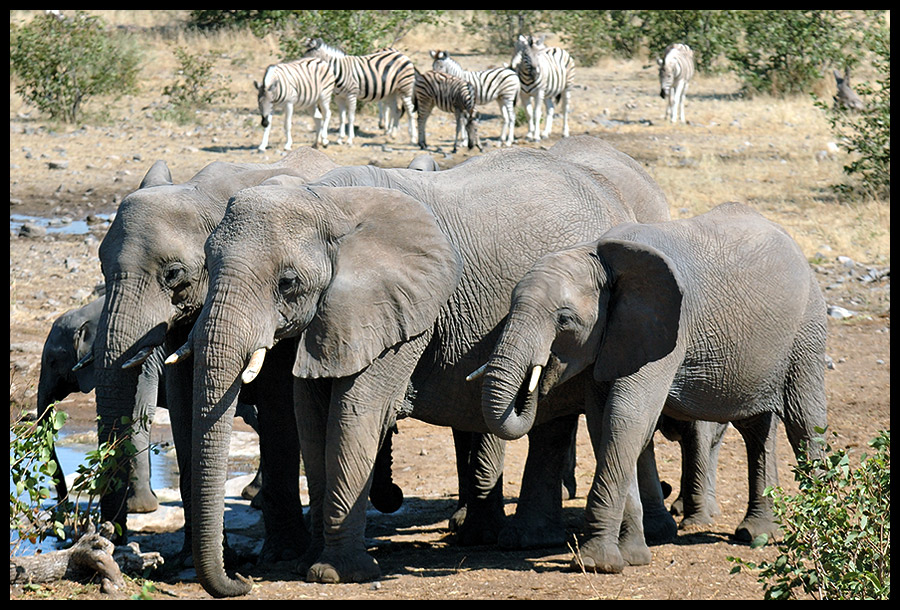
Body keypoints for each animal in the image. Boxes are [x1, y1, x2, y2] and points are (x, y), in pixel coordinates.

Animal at [92, 146, 338, 560]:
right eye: (100, 265)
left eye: (174, 274)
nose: (111, 536)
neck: (202, 195)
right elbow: (183, 404)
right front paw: (190, 557)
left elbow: (278, 404)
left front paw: (282, 554)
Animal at [181, 139, 684, 592]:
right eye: (206, 262)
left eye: (287, 282)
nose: (242, 579)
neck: (327, 201)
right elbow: (310, 413)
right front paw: (306, 563)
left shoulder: (405, 311)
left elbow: (356, 413)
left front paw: (335, 574)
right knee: (551, 418)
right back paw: (519, 540)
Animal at [482, 202, 828, 572]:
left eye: (564, 319)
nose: (542, 372)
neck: (599, 256)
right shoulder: (611, 337)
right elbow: (603, 424)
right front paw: (632, 556)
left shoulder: (665, 328)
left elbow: (626, 418)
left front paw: (596, 563)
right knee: (755, 427)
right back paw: (757, 534)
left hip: (807, 330)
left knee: (804, 424)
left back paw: (815, 529)